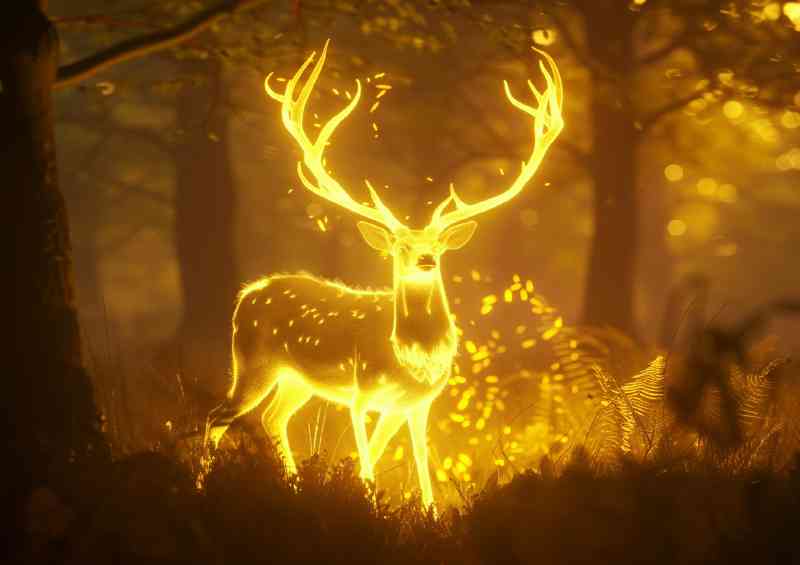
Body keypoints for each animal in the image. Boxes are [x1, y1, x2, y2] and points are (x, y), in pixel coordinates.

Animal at [204, 40, 563, 508]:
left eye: (438, 246)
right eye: (400, 246)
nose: (426, 260)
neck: (413, 359)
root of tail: (247, 293)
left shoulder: (417, 403)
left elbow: (411, 459)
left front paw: (428, 510)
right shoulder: (362, 394)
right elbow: (365, 455)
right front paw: (370, 501)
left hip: (296, 381)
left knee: (271, 418)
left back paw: (295, 484)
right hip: (252, 362)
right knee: (217, 416)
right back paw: (201, 484)